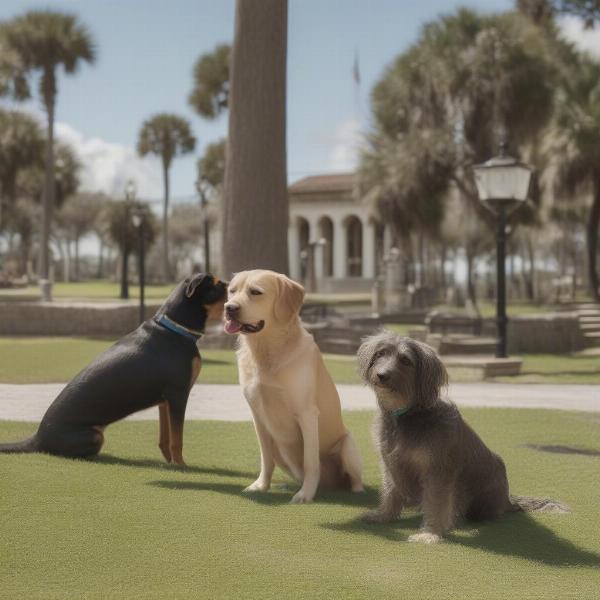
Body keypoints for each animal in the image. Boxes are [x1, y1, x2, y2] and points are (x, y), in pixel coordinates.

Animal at [0, 274, 227, 464]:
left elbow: (166, 437)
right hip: (94, 435)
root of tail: (38, 438)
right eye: (218, 285)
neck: (176, 329)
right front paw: (181, 466)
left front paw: (170, 463)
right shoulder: (178, 394)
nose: (231, 283)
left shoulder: (165, 400)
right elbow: (177, 439)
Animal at [358, 330, 568, 548]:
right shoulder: (391, 464)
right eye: (380, 354)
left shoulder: (437, 471)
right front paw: (383, 516)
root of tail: (508, 501)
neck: (408, 414)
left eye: (405, 360)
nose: (382, 375)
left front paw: (429, 533)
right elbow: (390, 492)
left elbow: (435, 503)